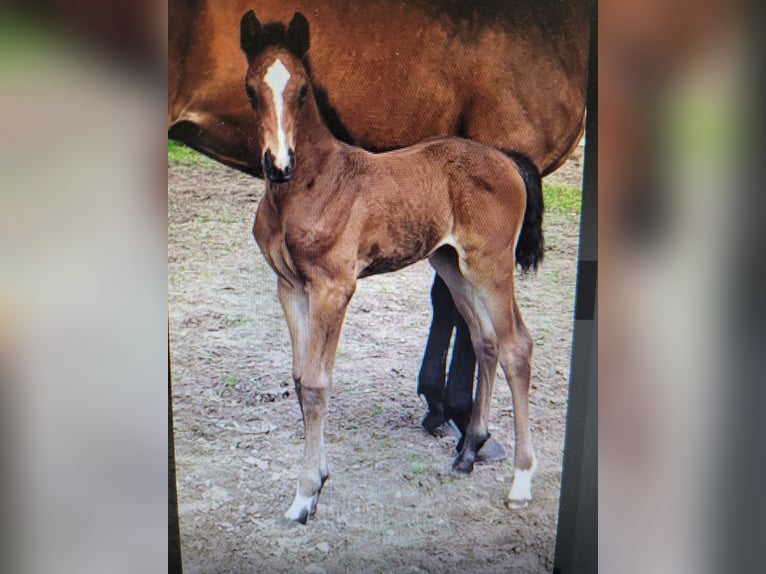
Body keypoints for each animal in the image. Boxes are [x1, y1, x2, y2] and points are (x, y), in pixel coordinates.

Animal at [243, 12, 544, 528]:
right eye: (250, 88)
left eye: (302, 90)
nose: (279, 164)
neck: (310, 185)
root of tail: (507, 158)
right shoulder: (290, 287)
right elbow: (301, 379)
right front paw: (317, 482)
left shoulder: (333, 288)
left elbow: (318, 384)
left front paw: (305, 496)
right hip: (452, 265)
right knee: (485, 340)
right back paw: (468, 452)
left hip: (490, 265)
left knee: (515, 347)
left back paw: (521, 482)